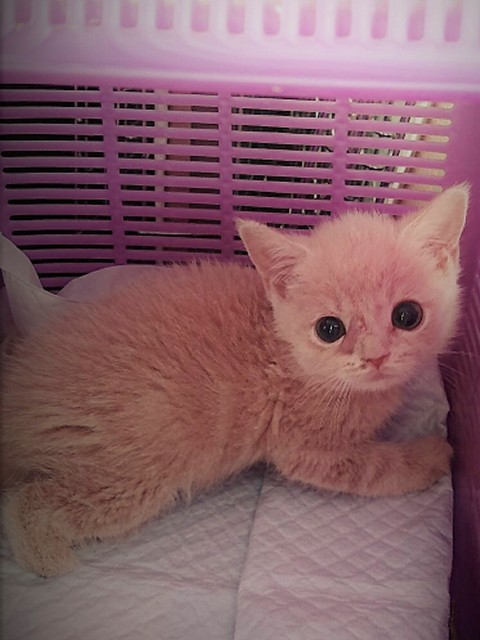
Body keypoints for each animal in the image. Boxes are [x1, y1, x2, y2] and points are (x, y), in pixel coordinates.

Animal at [1, 185, 468, 577]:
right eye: (329, 329)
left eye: (407, 315)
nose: (375, 356)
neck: (286, 350)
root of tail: (18, 385)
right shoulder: (303, 447)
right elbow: (374, 467)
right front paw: (430, 456)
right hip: (132, 474)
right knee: (26, 503)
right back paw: (48, 561)